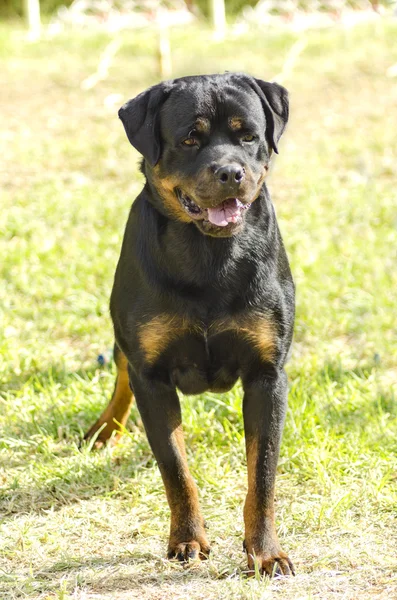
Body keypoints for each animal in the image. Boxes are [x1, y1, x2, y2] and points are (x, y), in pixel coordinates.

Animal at [83, 72, 294, 576]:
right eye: (189, 139)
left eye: (248, 136)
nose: (230, 172)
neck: (209, 256)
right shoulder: (153, 376)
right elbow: (176, 470)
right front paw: (187, 539)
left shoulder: (268, 375)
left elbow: (262, 474)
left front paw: (265, 551)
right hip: (123, 335)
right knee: (121, 372)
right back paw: (105, 429)